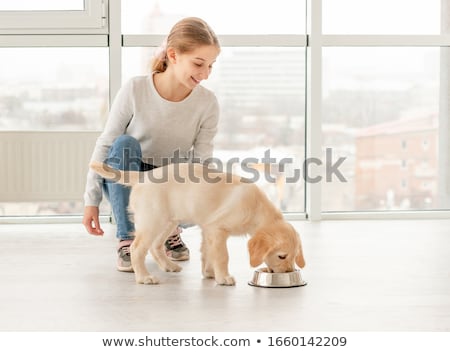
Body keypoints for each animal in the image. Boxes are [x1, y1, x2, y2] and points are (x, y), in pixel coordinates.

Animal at [89, 161, 304, 284]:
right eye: (282, 256)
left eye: (294, 257)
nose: (289, 271)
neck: (256, 208)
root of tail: (143, 176)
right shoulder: (218, 230)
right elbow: (222, 256)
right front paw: (223, 278)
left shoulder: (208, 230)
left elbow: (207, 254)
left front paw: (209, 273)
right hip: (153, 221)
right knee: (137, 248)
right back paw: (143, 277)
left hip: (168, 221)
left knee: (155, 246)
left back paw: (169, 266)